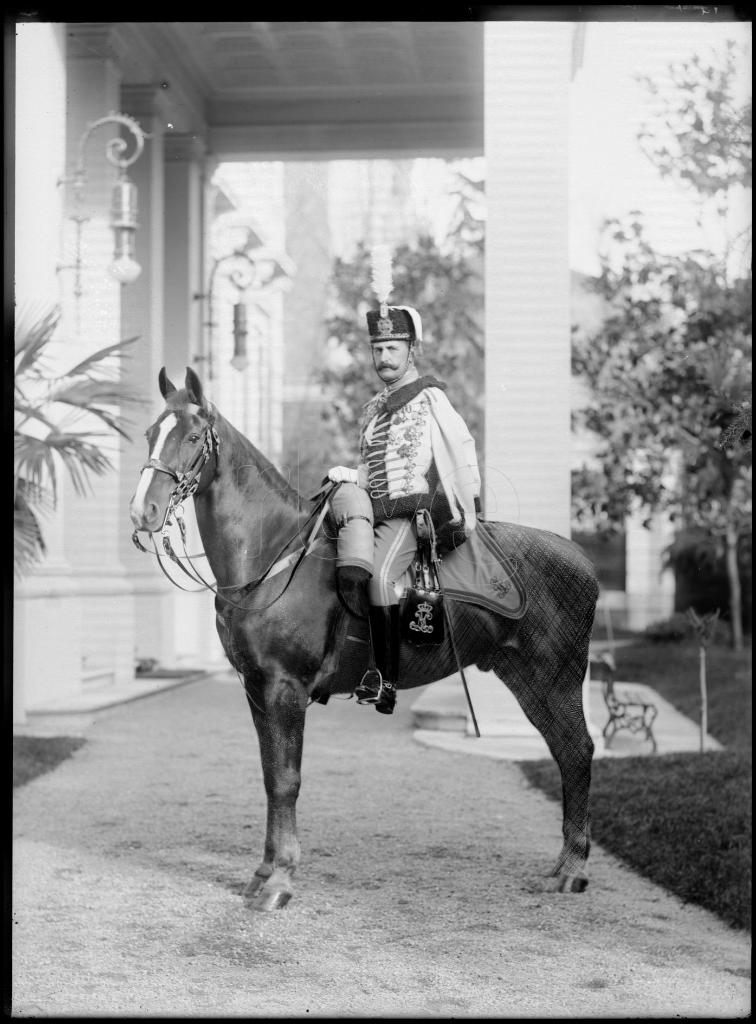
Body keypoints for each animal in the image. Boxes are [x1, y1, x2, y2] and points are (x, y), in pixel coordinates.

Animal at [131, 368, 602, 913]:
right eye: (150, 433)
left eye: (190, 437)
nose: (142, 511)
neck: (271, 559)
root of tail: (581, 558)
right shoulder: (256, 688)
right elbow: (271, 776)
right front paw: (264, 871)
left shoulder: (286, 688)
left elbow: (286, 780)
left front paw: (280, 878)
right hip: (527, 682)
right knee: (565, 752)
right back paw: (565, 865)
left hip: (556, 681)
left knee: (577, 751)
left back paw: (572, 869)